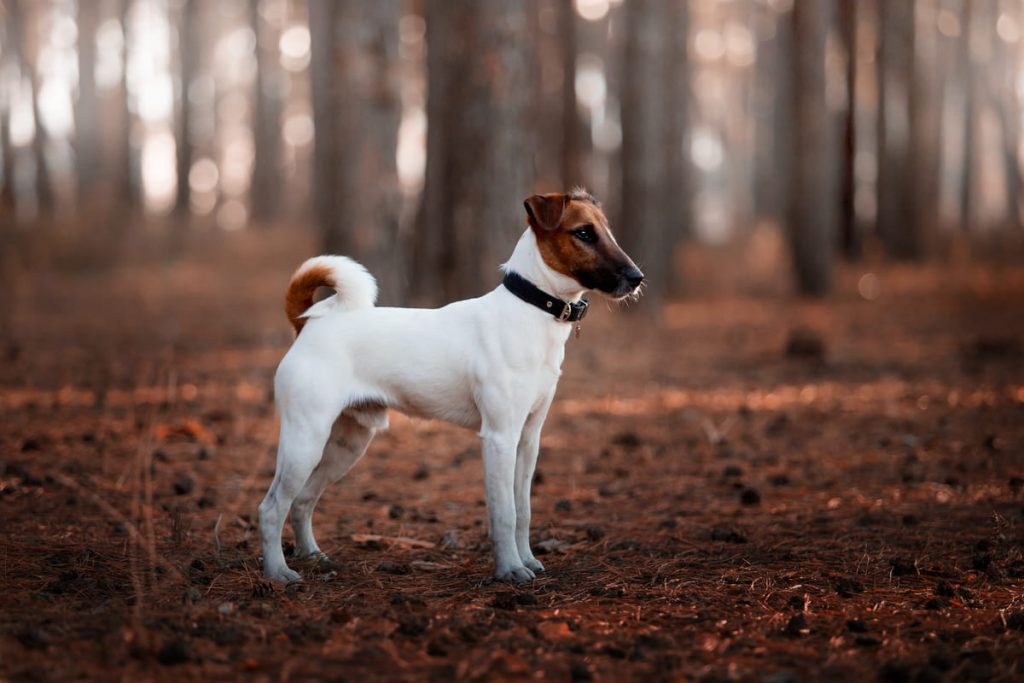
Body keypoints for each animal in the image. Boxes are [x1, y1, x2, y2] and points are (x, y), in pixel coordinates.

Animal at [260, 189, 643, 585]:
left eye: (607, 231)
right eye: (583, 233)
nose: (637, 277)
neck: (531, 313)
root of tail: (308, 324)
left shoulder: (528, 439)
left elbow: (523, 510)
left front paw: (527, 559)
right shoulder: (500, 437)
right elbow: (504, 513)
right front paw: (510, 568)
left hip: (346, 445)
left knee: (302, 501)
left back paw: (312, 555)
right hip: (305, 441)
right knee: (272, 507)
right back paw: (278, 571)